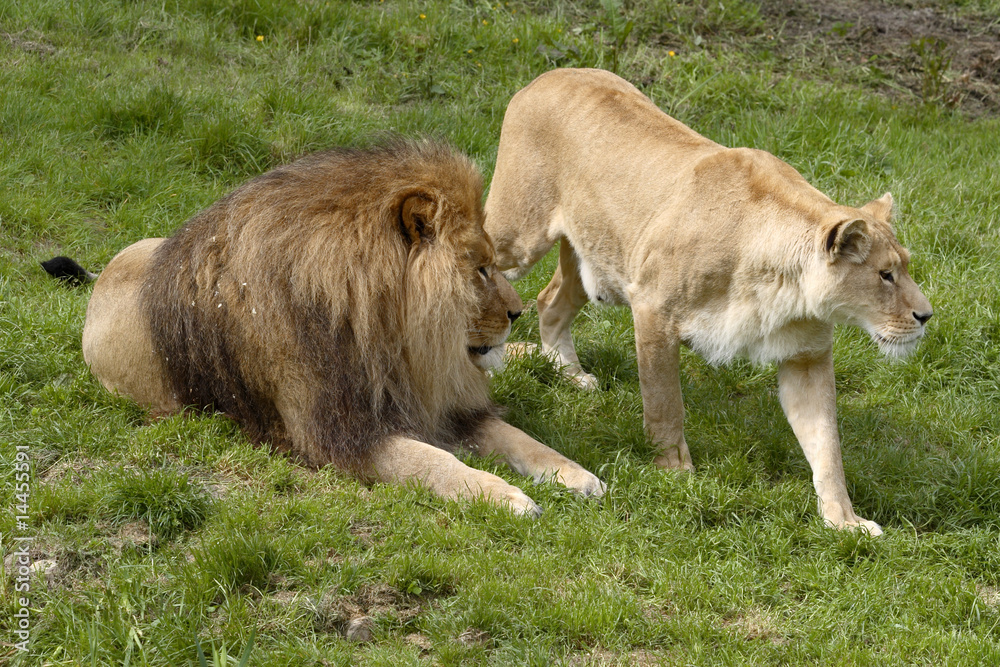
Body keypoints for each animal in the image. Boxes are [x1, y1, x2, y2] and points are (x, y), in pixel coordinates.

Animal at [68, 140, 605, 516]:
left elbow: (521, 438)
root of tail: (107, 269)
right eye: (480, 269)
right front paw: (504, 496)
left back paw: (559, 367)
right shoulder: (340, 434)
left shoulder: (443, 400)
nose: (517, 313)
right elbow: (431, 461)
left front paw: (578, 475)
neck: (396, 343)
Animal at [484, 68, 932, 535]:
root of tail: (548, 75)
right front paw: (674, 471)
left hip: (593, 257)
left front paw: (844, 520)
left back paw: (569, 373)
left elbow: (826, 445)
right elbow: (665, 404)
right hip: (518, 237)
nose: (926, 315)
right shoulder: (653, 310)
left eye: (904, 267)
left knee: (549, 301)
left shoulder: (806, 356)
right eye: (885, 275)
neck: (782, 285)